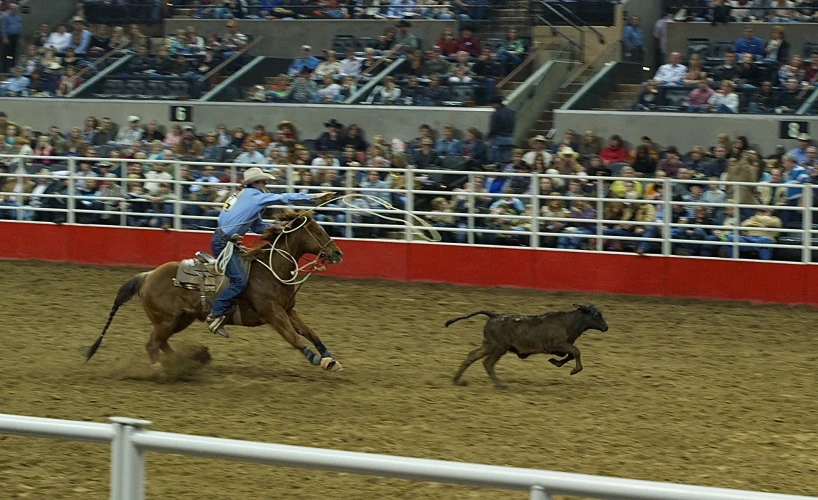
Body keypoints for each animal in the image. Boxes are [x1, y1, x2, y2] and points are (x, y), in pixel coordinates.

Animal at [85, 211, 344, 372]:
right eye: (318, 231)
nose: (337, 253)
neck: (270, 270)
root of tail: (146, 276)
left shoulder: (289, 310)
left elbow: (310, 332)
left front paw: (330, 357)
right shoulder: (273, 313)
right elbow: (294, 338)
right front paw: (319, 360)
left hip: (181, 319)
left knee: (161, 342)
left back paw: (181, 362)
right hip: (166, 320)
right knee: (152, 344)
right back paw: (160, 371)